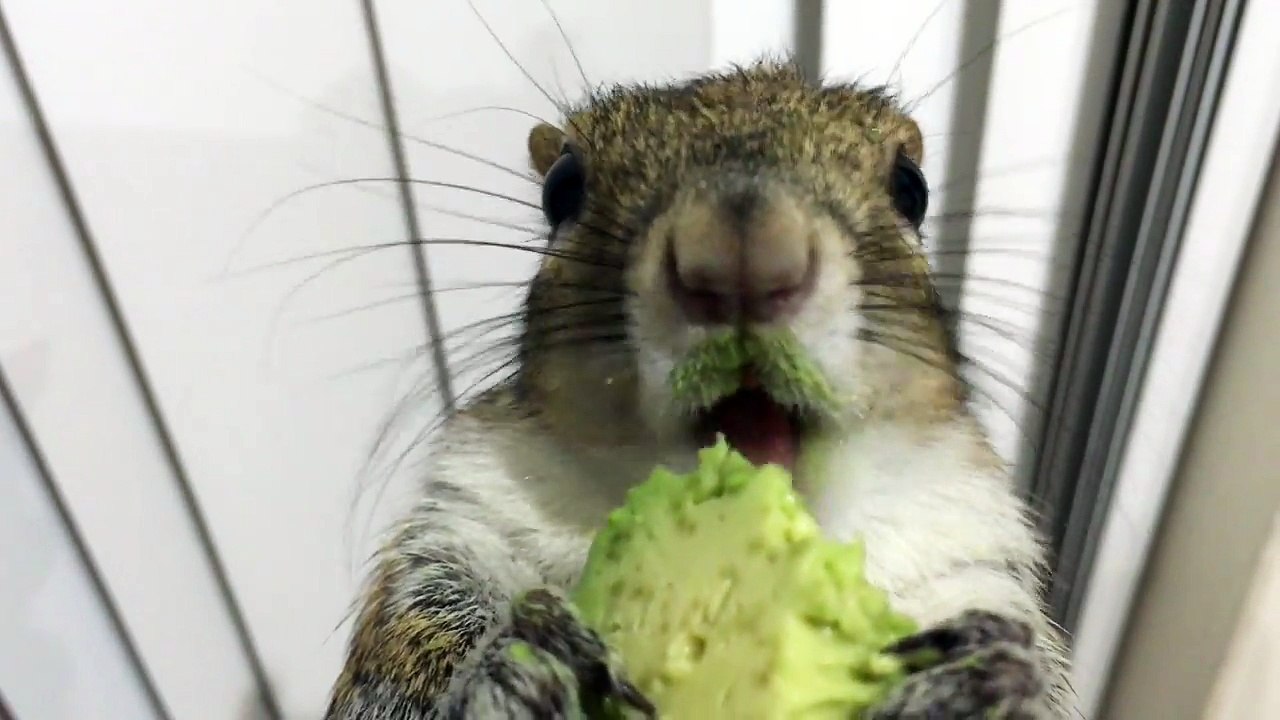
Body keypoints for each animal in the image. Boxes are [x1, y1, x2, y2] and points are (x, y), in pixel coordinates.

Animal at [324, 59, 1076, 719]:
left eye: (911, 187)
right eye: (561, 190)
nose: (743, 255)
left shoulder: (973, 563)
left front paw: (986, 680)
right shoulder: (454, 538)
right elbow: (393, 683)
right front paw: (511, 667)